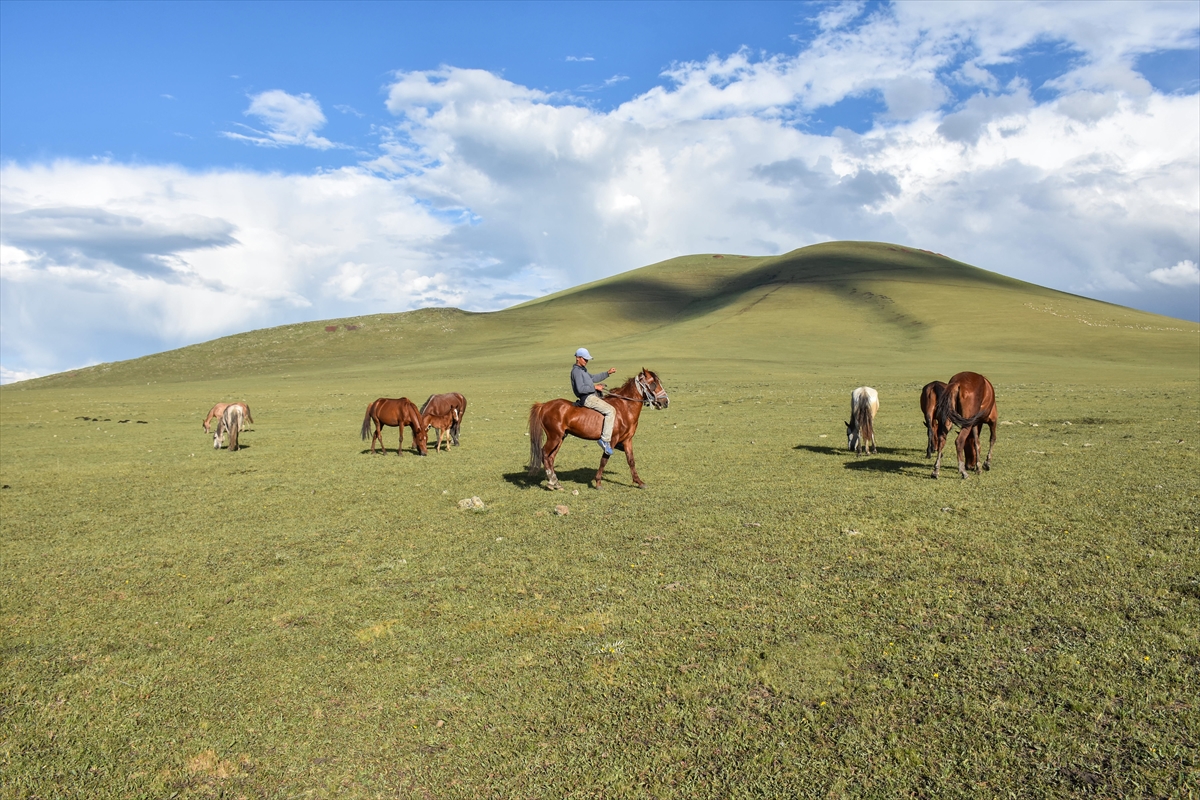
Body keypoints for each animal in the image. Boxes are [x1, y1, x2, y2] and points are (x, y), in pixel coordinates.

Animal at [530, 371, 672, 494]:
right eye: (653, 384)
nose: (665, 402)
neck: (625, 408)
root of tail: (544, 405)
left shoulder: (627, 440)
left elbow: (631, 460)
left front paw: (639, 482)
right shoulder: (611, 440)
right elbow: (604, 460)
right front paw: (598, 483)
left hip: (560, 438)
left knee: (550, 457)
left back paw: (556, 483)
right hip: (554, 437)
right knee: (544, 453)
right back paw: (551, 482)